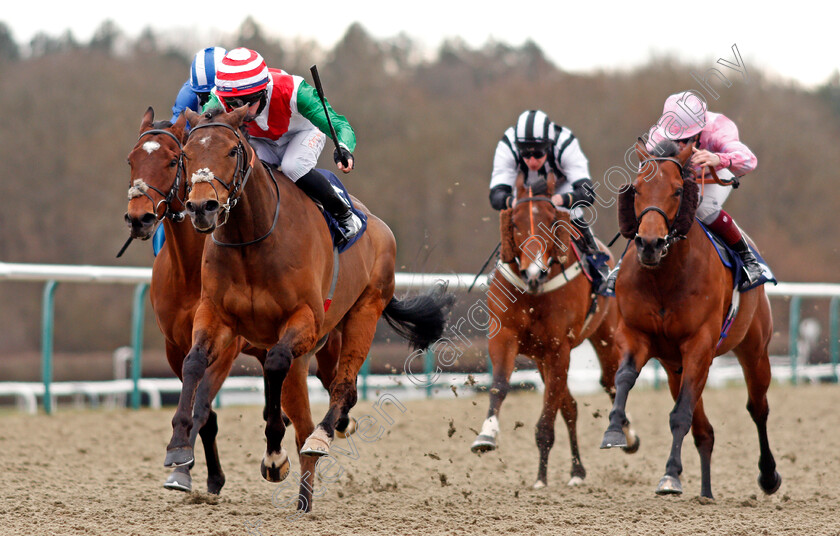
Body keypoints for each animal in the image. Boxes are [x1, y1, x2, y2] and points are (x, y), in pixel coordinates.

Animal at [123, 107, 350, 496]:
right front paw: (193, 469)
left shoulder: (228, 347)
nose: (140, 217)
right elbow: (202, 402)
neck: (190, 269)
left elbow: (203, 404)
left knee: (335, 382)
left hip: (326, 341)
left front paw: (190, 468)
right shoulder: (176, 345)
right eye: (131, 160)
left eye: (172, 160)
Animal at [170, 104, 452, 510]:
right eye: (185, 154)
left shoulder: (304, 319)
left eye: (232, 150)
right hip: (310, 351)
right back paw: (304, 498)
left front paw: (274, 454)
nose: (201, 208)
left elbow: (275, 364)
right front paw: (178, 446)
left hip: (363, 313)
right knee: (306, 414)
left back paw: (322, 437)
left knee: (343, 388)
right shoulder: (216, 315)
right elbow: (193, 363)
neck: (251, 239)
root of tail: (378, 224)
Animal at [470, 173, 640, 490]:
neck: (534, 292)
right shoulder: (505, 337)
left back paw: (627, 437)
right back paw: (577, 470)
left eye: (550, 221)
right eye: (515, 223)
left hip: (605, 335)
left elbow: (548, 417)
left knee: (610, 380)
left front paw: (540, 478)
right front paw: (486, 435)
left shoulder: (558, 347)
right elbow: (500, 385)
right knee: (570, 406)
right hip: (540, 356)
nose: (533, 272)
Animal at [596, 138, 780, 498]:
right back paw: (706, 493)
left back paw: (768, 476)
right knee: (705, 431)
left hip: (754, 350)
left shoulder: (699, 344)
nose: (649, 244)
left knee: (758, 408)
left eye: (678, 190)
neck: (663, 276)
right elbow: (624, 377)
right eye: (636, 189)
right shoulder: (636, 335)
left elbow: (680, 414)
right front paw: (613, 431)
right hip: (674, 368)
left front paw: (669, 475)